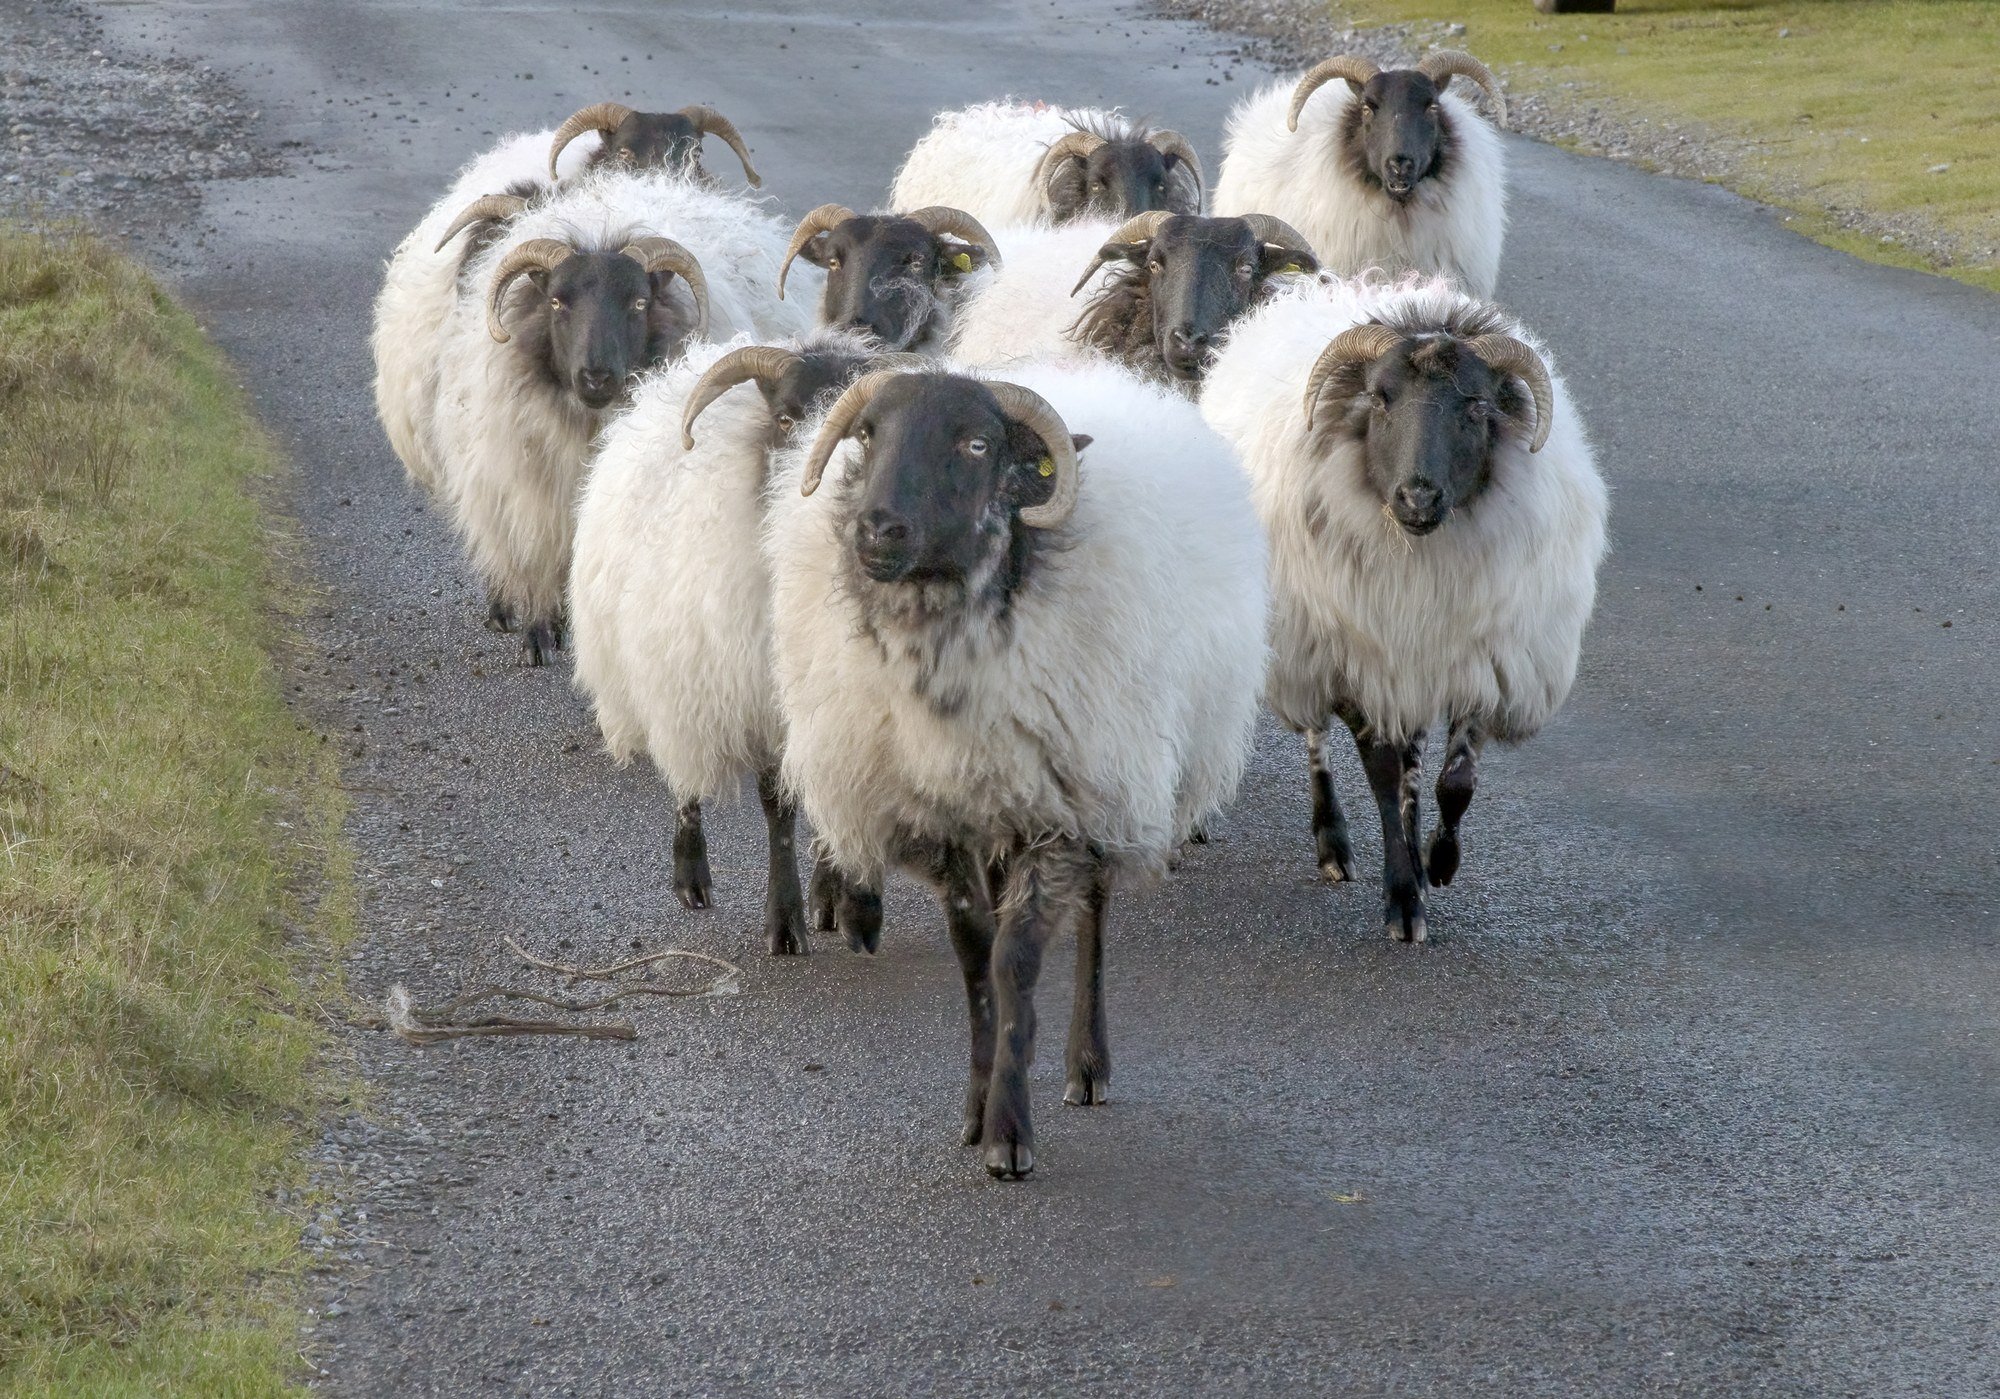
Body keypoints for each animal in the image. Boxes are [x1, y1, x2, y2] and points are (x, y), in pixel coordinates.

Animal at [428, 173, 812, 662]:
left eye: (640, 303)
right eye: (556, 302)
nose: (596, 376)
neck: (588, 424)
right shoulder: (532, 492)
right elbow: (535, 555)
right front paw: (538, 634)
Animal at [569, 330, 916, 954]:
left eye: (866, 435)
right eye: (785, 418)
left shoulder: (836, 700)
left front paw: (838, 897)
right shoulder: (758, 700)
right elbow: (779, 806)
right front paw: (786, 921)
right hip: (669, 664)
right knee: (682, 771)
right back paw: (690, 875)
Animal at [763, 360, 1268, 1177]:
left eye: (975, 443)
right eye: (869, 434)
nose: (876, 528)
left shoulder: (1060, 818)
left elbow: (1015, 962)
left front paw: (1008, 1132)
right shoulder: (945, 820)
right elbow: (975, 961)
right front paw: (976, 1108)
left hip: (1110, 778)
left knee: (1094, 918)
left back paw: (1086, 1065)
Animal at [1200, 277, 1608, 944]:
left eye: (1476, 405)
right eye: (1380, 398)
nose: (1417, 496)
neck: (1418, 554)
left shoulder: (1475, 664)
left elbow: (1454, 783)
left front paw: (1439, 863)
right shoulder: (1361, 663)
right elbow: (1386, 781)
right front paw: (1402, 900)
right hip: (1304, 639)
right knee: (1318, 739)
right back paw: (1333, 844)